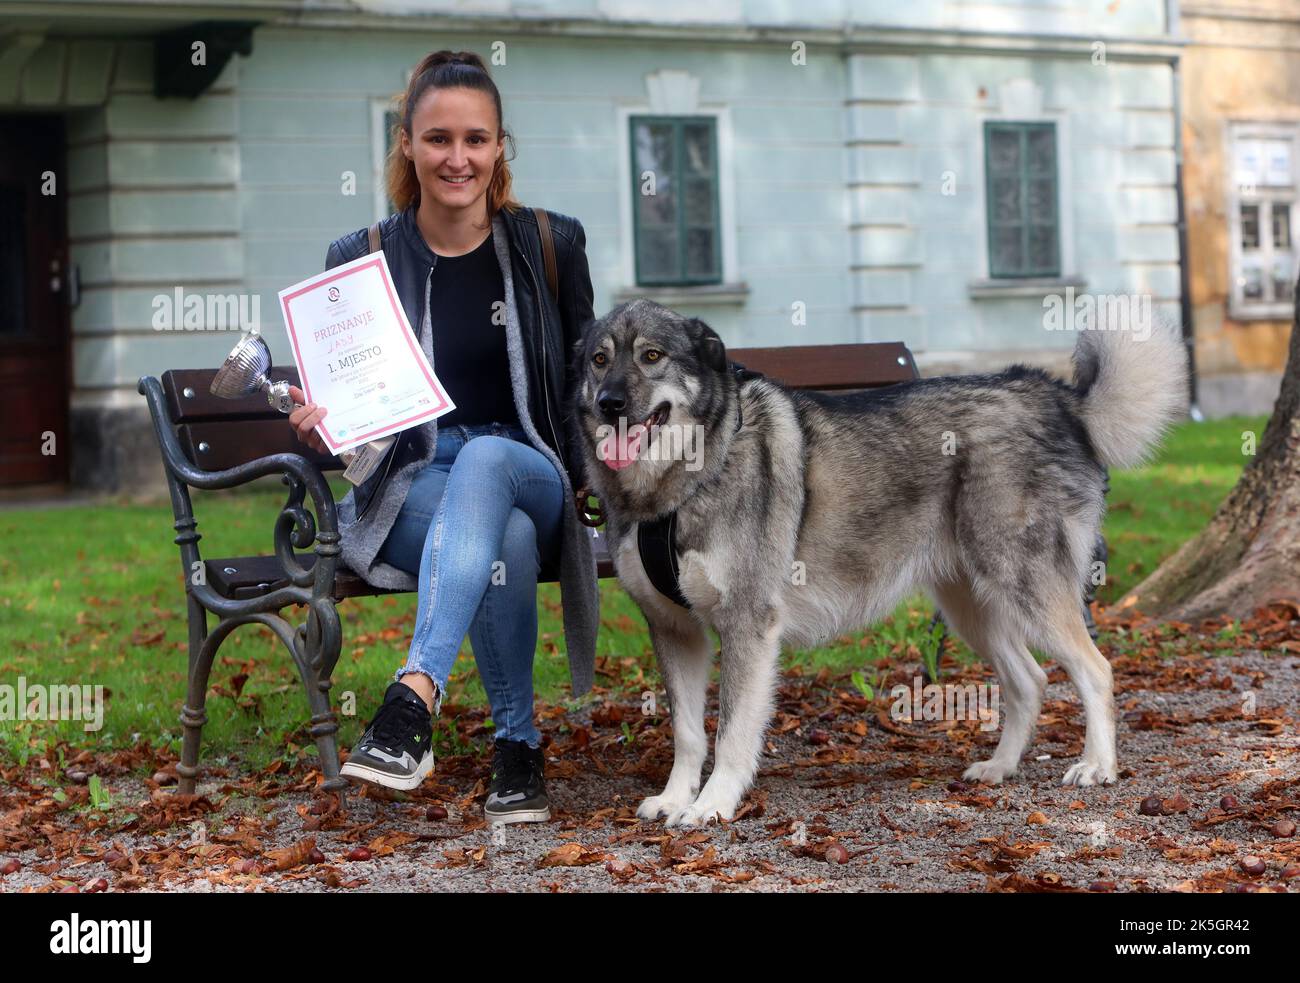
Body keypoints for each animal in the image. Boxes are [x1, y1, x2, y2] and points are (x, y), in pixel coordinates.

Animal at [569, 297, 1190, 821]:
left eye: (652, 356)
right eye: (600, 360)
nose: (609, 403)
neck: (683, 482)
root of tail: (1054, 394)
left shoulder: (747, 627)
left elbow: (731, 734)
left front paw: (713, 804)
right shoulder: (675, 631)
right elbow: (687, 732)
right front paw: (676, 798)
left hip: (1024, 588)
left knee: (1095, 670)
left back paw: (1098, 766)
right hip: (972, 607)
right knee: (1030, 680)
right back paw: (1001, 767)